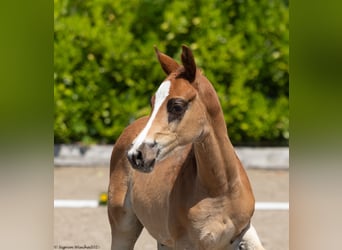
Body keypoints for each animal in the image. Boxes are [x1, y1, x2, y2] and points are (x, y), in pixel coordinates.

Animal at [107, 46, 264, 249]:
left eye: (177, 106)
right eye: (152, 103)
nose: (136, 154)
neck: (221, 189)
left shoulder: (240, 234)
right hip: (123, 226)